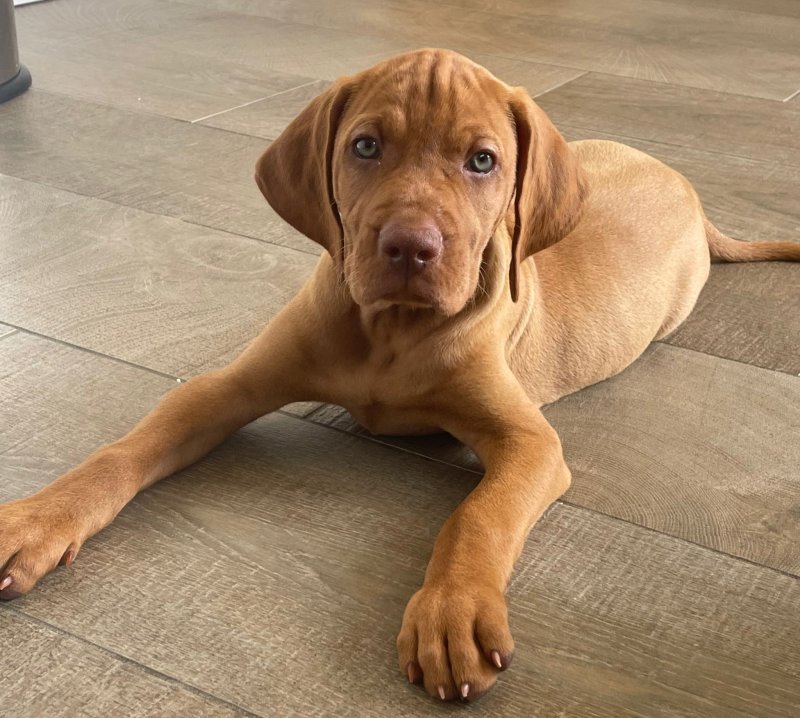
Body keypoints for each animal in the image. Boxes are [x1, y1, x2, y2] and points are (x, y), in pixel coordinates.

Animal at [1, 50, 800, 704]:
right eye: (365, 146)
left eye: (482, 161)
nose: (410, 247)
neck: (391, 332)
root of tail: (686, 189)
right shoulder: (228, 388)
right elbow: (126, 450)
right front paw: (39, 519)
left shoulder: (530, 443)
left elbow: (480, 513)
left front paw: (452, 612)